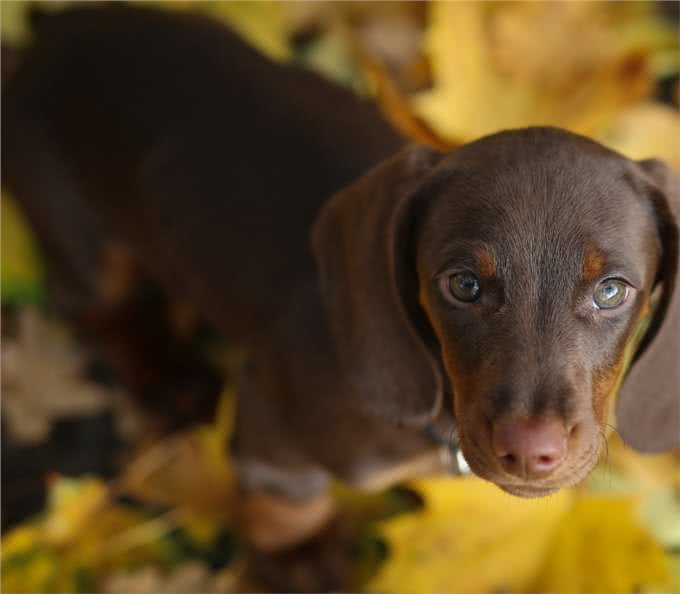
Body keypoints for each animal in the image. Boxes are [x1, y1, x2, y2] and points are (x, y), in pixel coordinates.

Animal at [2, 0, 676, 572]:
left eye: (612, 291)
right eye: (462, 285)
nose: (531, 452)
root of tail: (45, 38)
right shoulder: (270, 412)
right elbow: (287, 494)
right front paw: (302, 554)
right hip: (77, 231)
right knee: (99, 312)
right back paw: (170, 378)